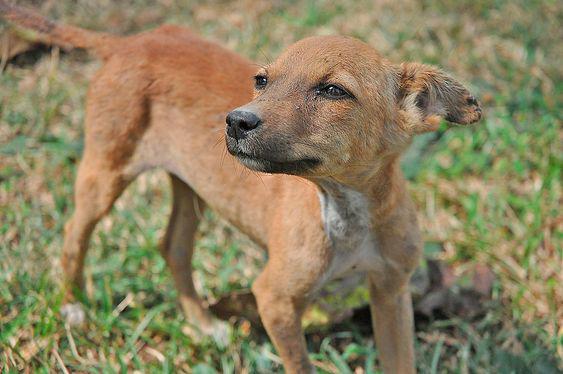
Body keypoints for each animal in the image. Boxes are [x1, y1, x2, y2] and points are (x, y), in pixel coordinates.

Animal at [1, 2, 484, 372]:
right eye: (262, 80)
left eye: (333, 91)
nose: (236, 121)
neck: (345, 209)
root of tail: (128, 42)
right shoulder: (273, 299)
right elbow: (300, 365)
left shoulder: (392, 293)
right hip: (106, 170)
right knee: (74, 234)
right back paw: (73, 305)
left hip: (191, 184)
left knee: (173, 247)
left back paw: (201, 324)